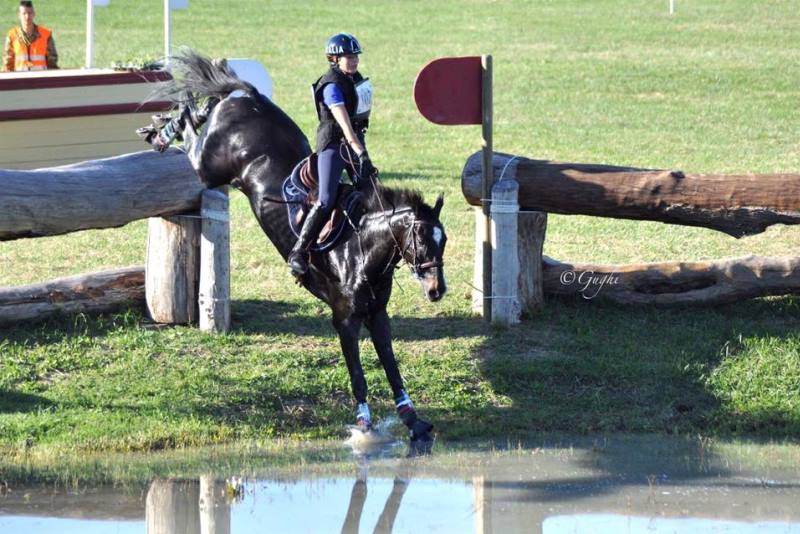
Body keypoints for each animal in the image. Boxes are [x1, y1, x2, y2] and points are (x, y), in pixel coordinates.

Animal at [151, 50, 446, 444]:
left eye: (443, 241)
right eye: (422, 240)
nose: (436, 290)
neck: (360, 248)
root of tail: (249, 98)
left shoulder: (377, 315)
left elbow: (392, 366)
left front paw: (413, 419)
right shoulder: (345, 318)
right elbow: (358, 374)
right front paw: (363, 424)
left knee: (208, 106)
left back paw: (169, 121)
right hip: (209, 166)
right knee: (190, 136)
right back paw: (167, 128)